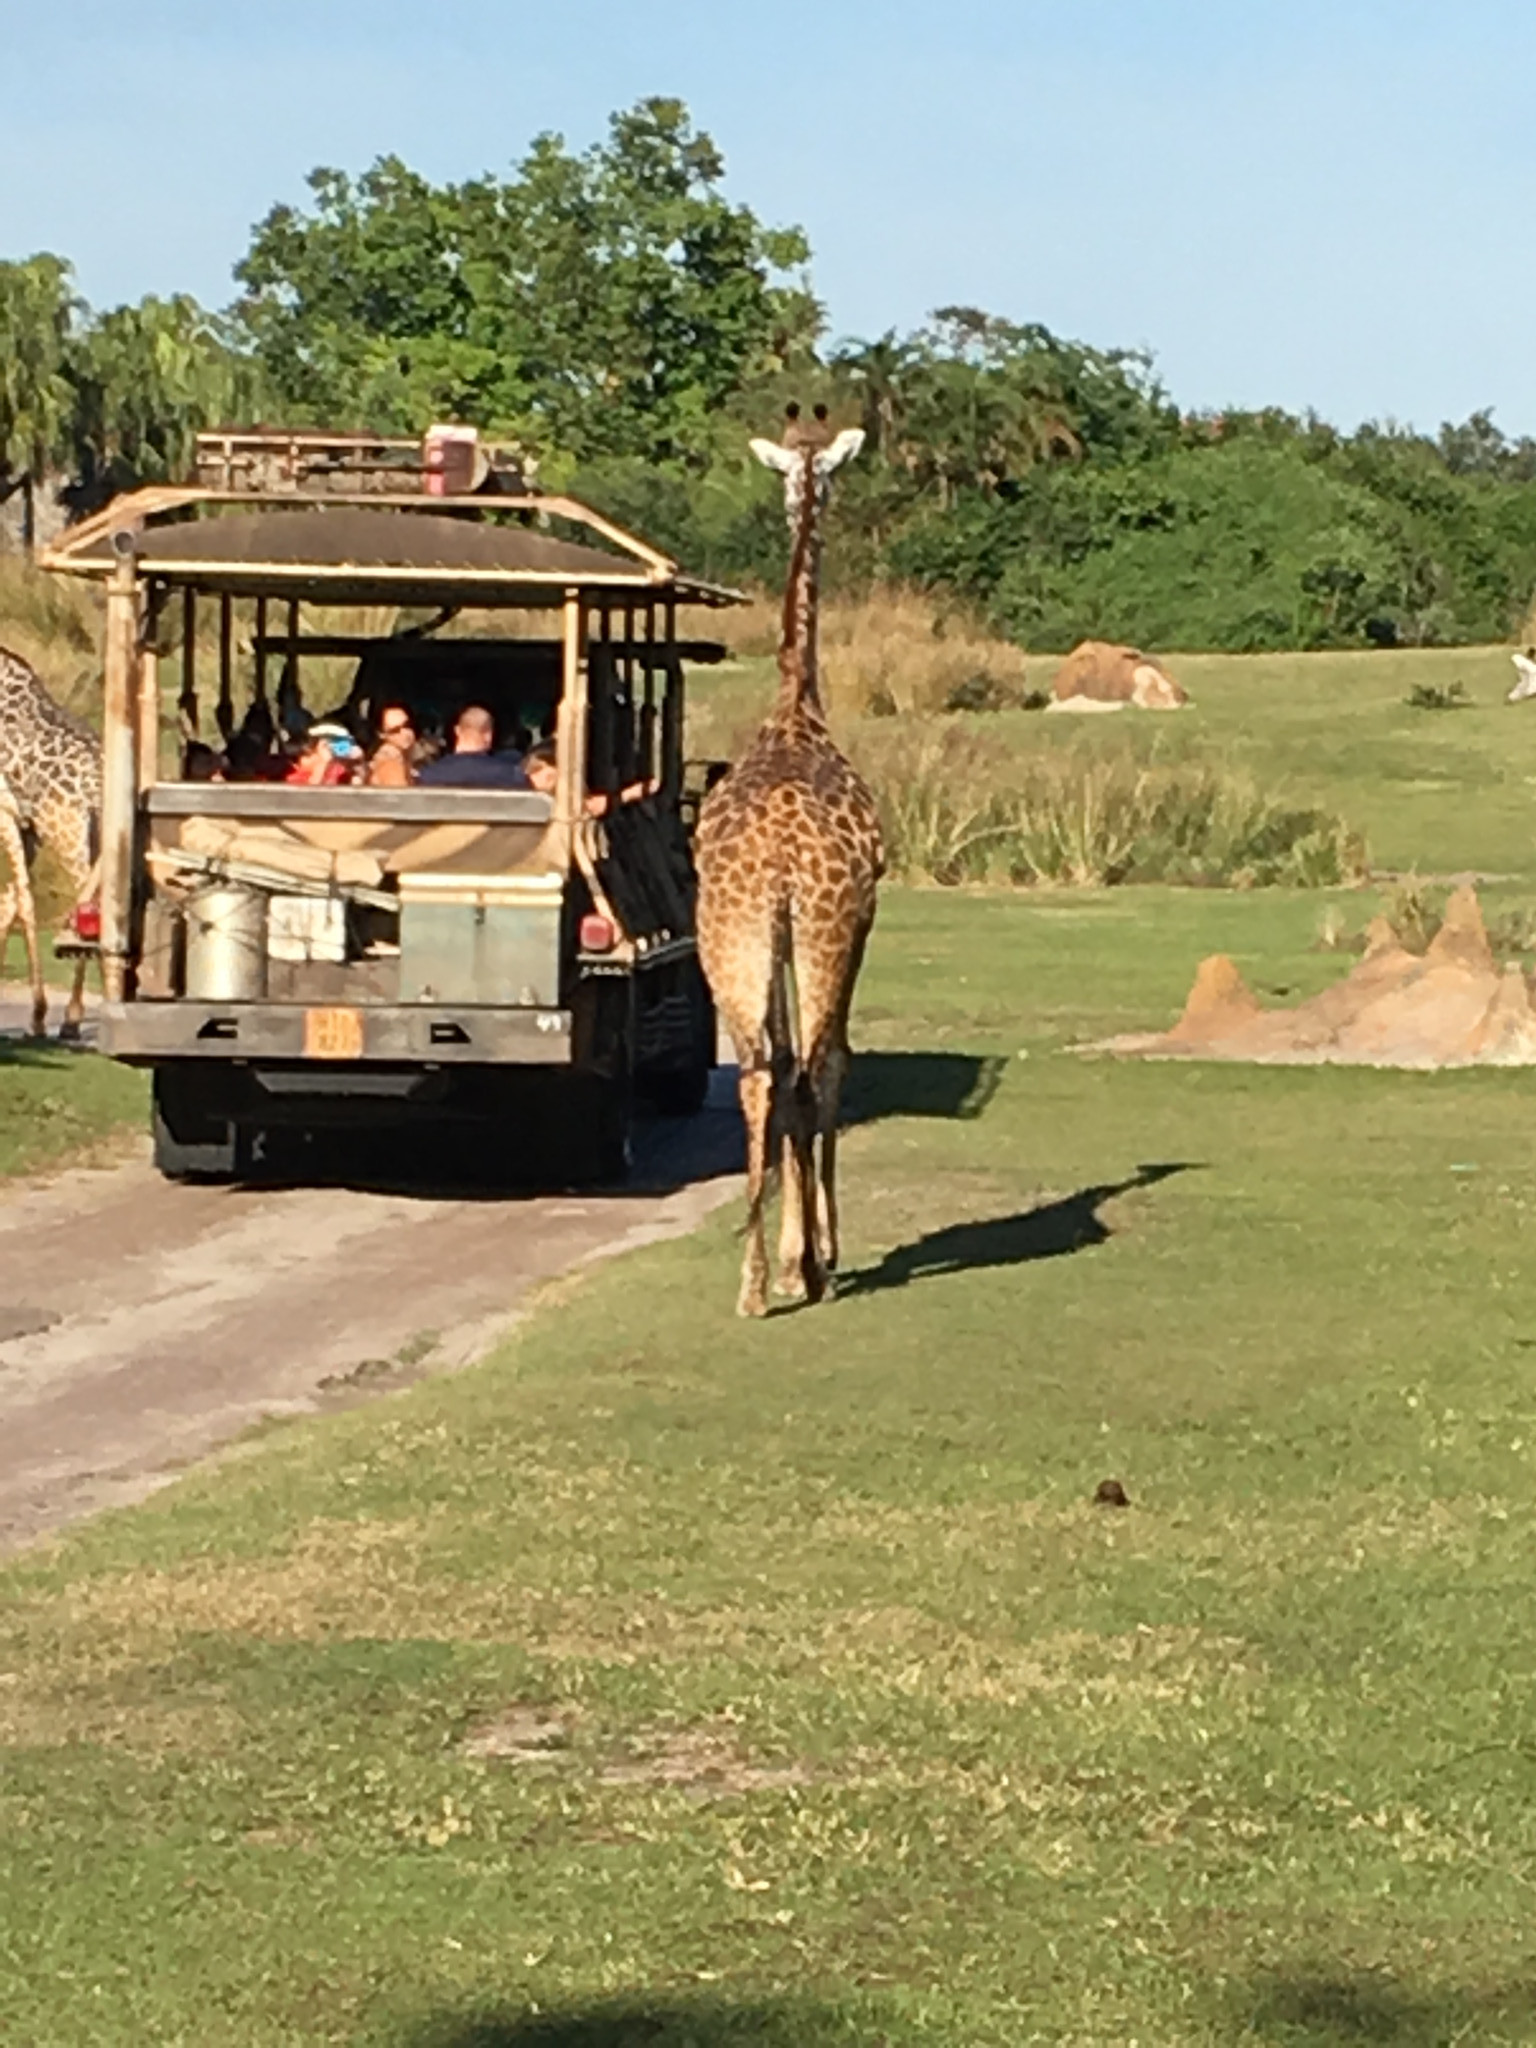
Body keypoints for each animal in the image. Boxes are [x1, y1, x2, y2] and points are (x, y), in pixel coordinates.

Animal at [0, 643, 102, 1040]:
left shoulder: (6, 813)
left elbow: (23, 902)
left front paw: (39, 1016)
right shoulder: (26, 826)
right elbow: (11, 899)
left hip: (67, 831)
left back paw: (72, 1018)